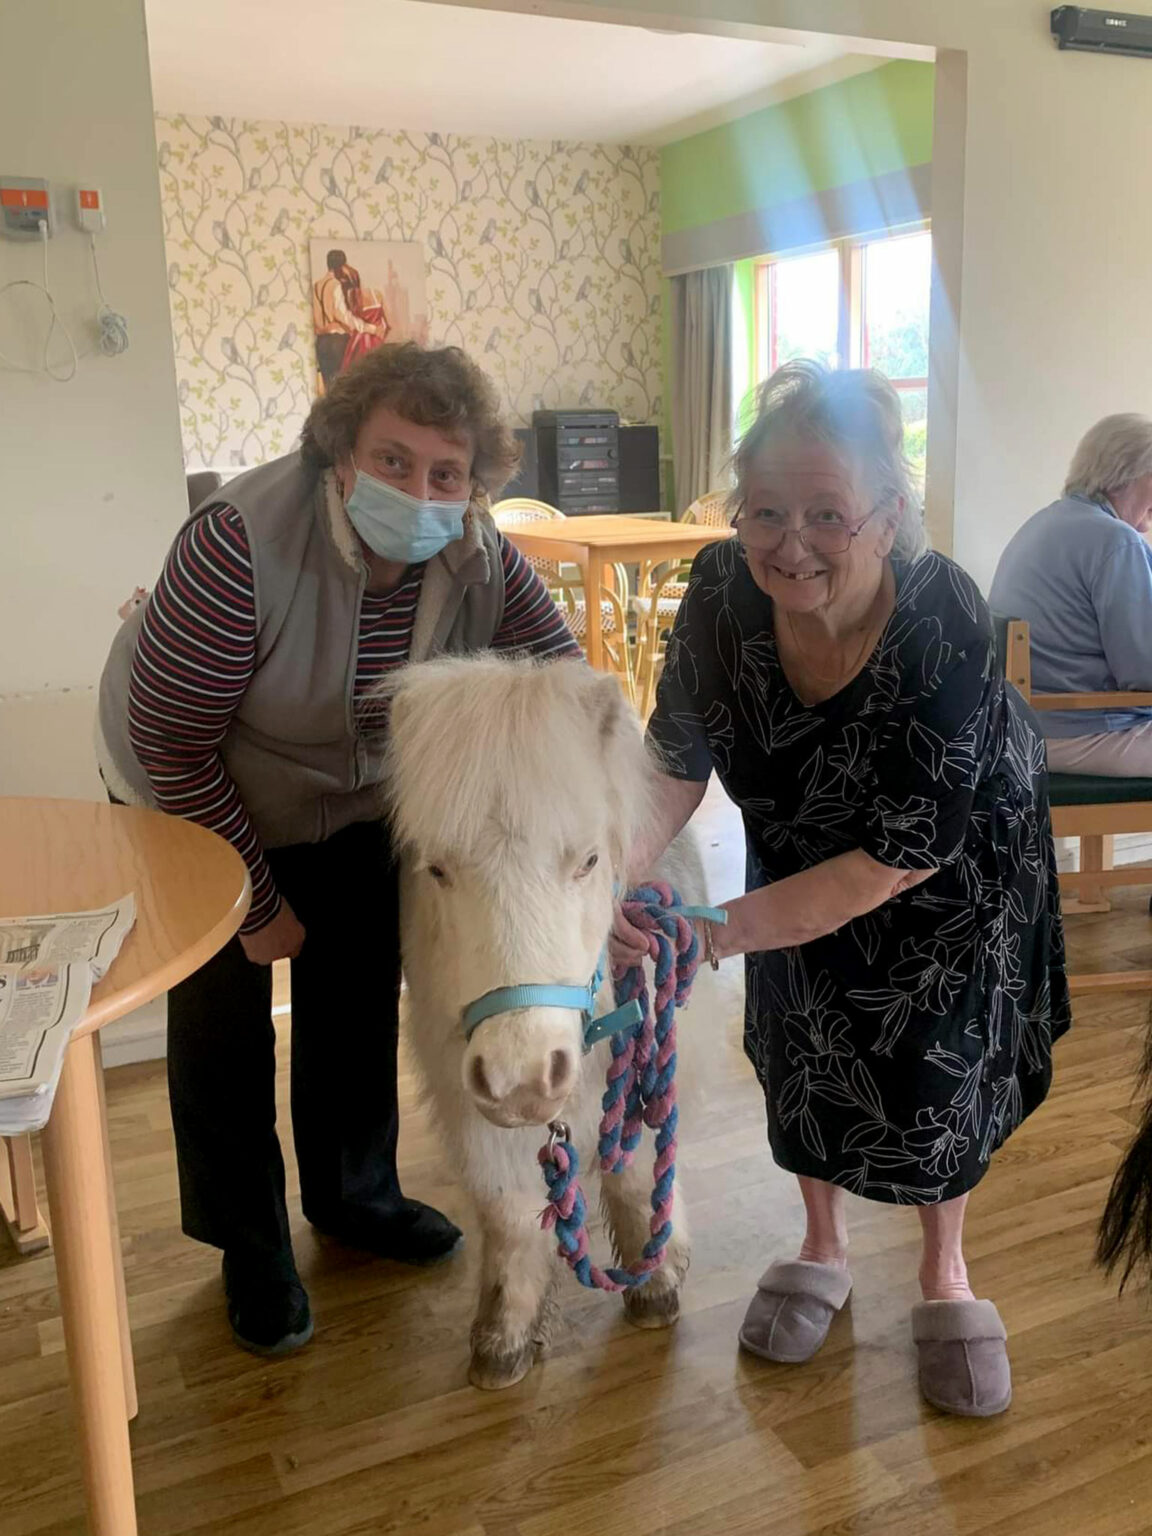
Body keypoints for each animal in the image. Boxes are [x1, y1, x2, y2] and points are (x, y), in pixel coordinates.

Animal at [384, 654, 711, 1389]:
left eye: (588, 861)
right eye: (436, 868)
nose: (524, 1080)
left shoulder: (638, 1060)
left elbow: (635, 1165)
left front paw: (655, 1281)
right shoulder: (463, 1089)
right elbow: (506, 1208)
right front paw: (503, 1336)